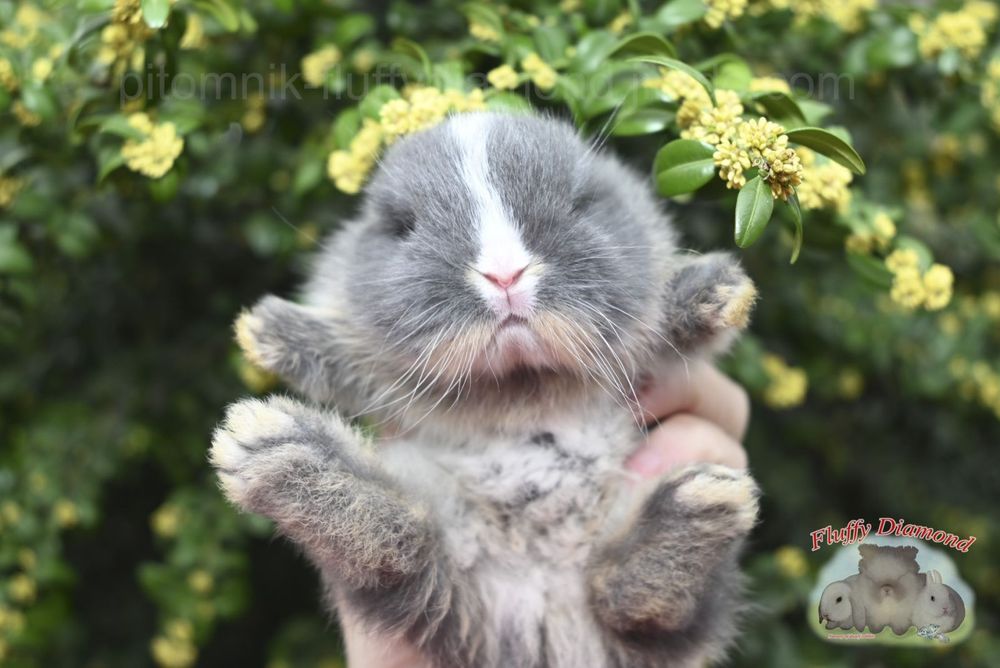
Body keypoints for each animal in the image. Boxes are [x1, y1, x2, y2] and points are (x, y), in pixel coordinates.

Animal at [210, 111, 761, 668]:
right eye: (402, 225)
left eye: (581, 202)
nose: (504, 274)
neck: (519, 386)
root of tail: (542, 617)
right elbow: (347, 356)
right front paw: (267, 330)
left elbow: (665, 327)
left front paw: (718, 290)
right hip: (438, 550)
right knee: (404, 544)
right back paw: (275, 447)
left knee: (630, 600)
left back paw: (698, 507)